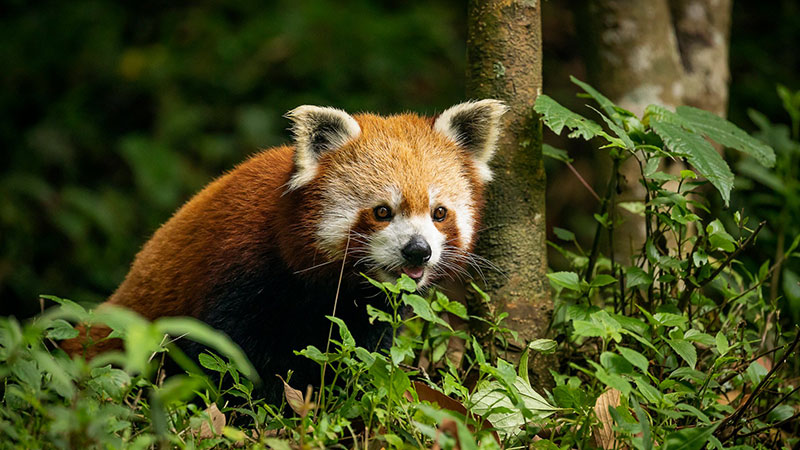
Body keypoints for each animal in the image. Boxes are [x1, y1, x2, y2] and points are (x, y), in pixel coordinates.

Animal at [65, 100, 510, 400]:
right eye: (383, 211)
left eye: (439, 213)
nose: (418, 251)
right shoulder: (240, 272)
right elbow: (219, 356)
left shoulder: (365, 315)